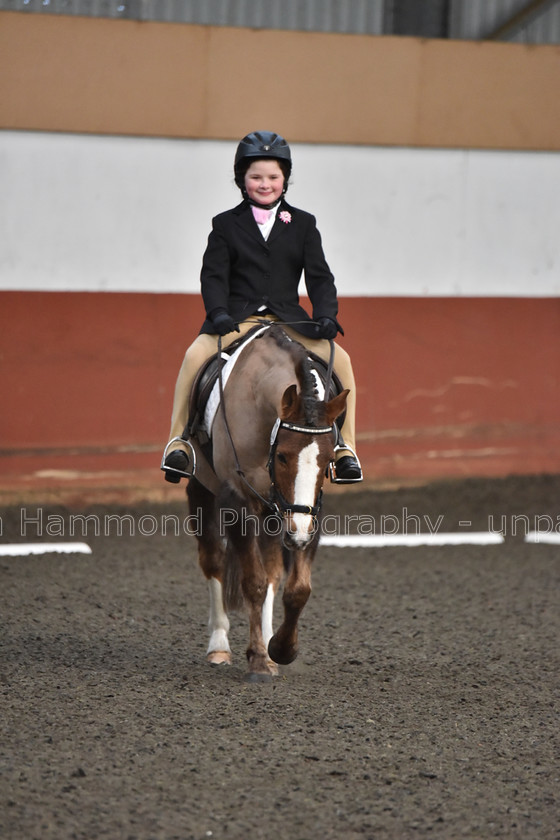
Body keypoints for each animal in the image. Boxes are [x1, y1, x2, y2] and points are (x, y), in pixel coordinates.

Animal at [186, 324, 348, 684]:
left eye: (329, 460)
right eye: (284, 456)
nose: (297, 534)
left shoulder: (307, 513)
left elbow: (296, 588)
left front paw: (281, 650)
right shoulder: (237, 501)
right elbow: (253, 583)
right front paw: (259, 660)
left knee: (273, 572)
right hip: (203, 492)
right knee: (214, 562)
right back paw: (219, 647)